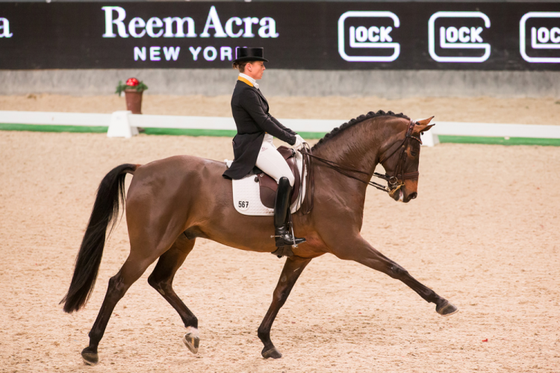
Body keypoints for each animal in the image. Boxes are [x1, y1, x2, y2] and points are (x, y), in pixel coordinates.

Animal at [61, 109, 458, 364]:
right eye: (413, 148)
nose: (409, 194)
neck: (334, 176)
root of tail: (143, 168)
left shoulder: (302, 254)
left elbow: (280, 295)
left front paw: (267, 343)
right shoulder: (348, 244)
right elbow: (396, 268)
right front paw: (442, 302)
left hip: (182, 240)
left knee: (160, 281)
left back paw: (193, 331)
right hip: (150, 243)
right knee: (118, 283)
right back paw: (92, 348)